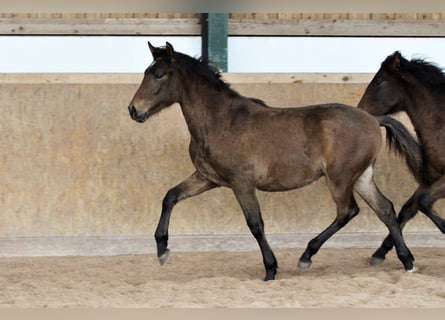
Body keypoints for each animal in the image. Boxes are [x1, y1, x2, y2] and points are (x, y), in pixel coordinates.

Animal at [127, 42, 412, 280]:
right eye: (147, 71)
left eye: (159, 74)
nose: (133, 110)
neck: (221, 121)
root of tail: (373, 119)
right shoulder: (208, 178)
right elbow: (170, 196)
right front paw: (162, 250)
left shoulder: (241, 183)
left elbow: (255, 224)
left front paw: (270, 269)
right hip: (361, 177)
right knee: (385, 209)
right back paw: (406, 261)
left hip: (340, 179)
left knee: (347, 211)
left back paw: (306, 257)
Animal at [358, 50, 444, 264]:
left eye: (379, 81)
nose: (360, 111)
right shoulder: (433, 180)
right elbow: (409, 207)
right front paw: (380, 253)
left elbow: (422, 203)